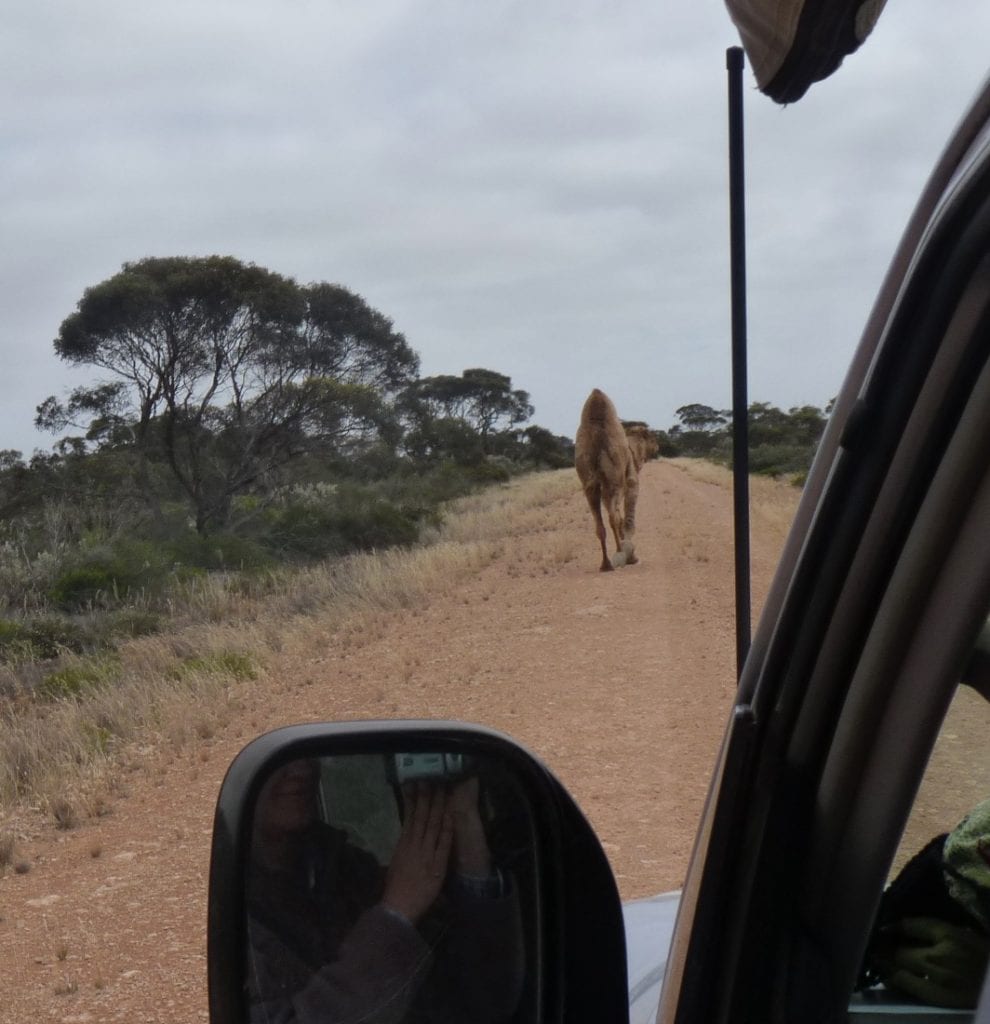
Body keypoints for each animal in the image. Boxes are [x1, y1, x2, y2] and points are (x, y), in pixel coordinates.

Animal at [573, 387, 659, 573]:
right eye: (651, 437)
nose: (658, 446)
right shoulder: (631, 481)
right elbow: (628, 519)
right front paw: (631, 555)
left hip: (588, 481)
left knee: (599, 524)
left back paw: (606, 564)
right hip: (614, 479)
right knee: (615, 517)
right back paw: (620, 554)